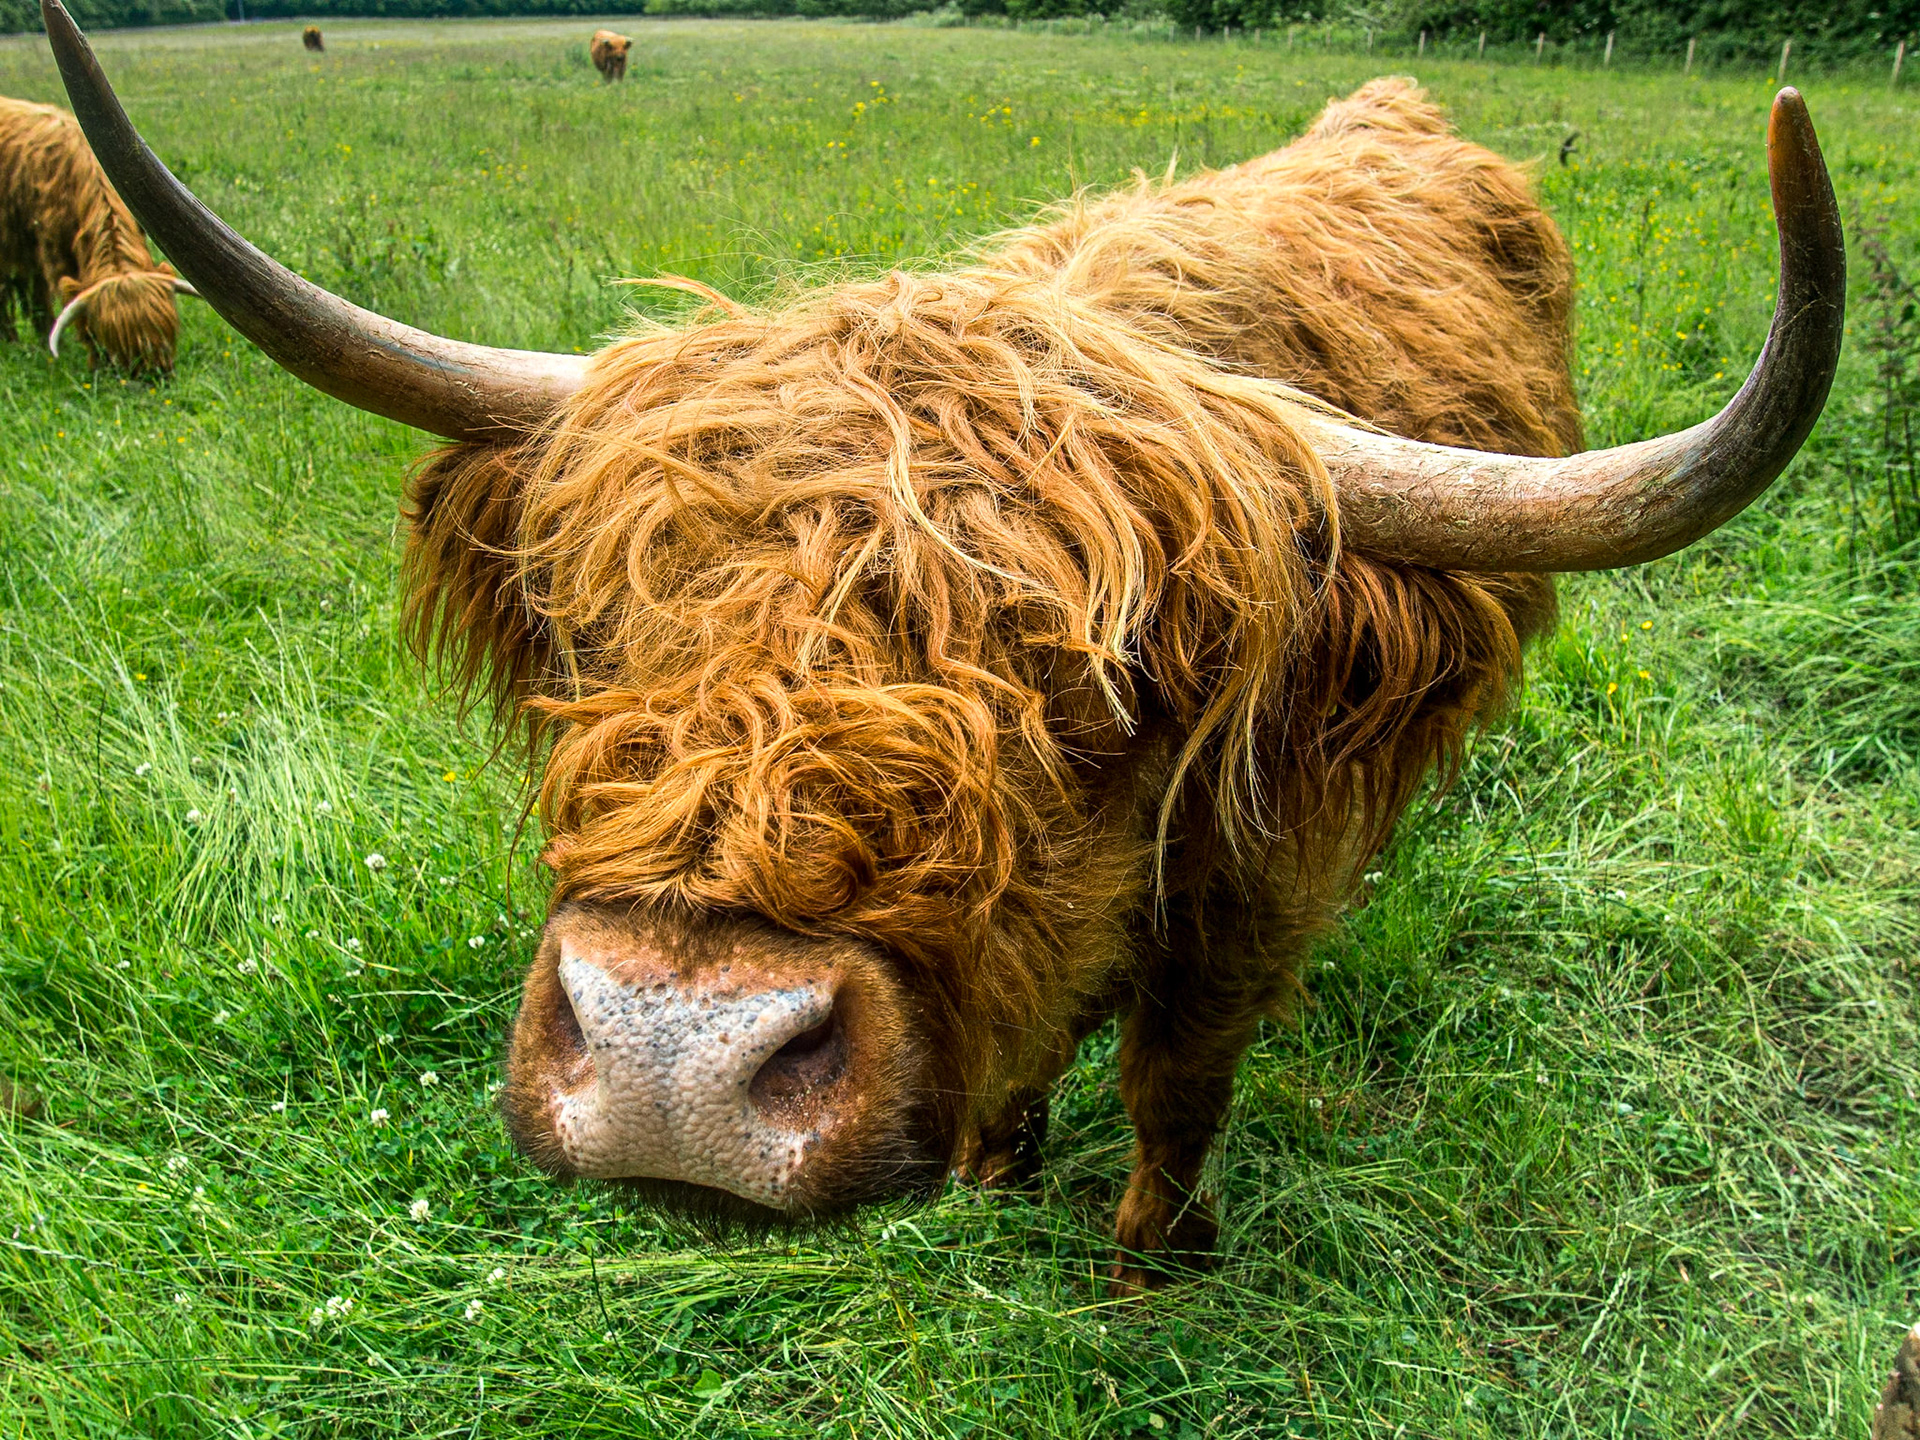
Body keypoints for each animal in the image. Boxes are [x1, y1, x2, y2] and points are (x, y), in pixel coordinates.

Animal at [39, 0, 1846, 1296]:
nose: (674, 1064)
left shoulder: (1249, 900)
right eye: (601, 623)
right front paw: (997, 1165)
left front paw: (1147, 1270)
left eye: (1107, 687)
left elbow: (1176, 1087)